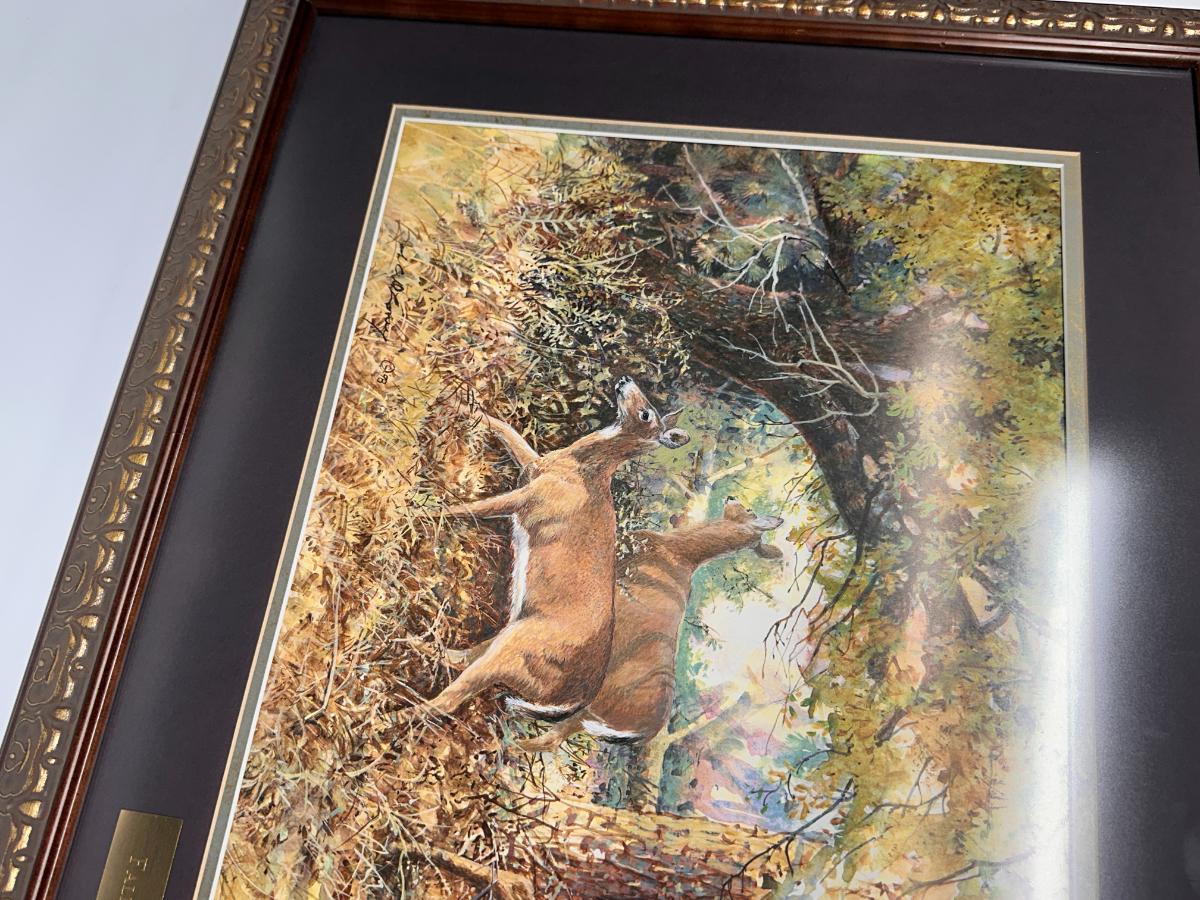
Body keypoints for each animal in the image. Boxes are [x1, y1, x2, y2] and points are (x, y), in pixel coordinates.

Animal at [414, 377, 690, 723]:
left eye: (645, 414)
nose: (625, 380)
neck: (580, 469)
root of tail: (575, 699)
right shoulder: (531, 466)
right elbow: (503, 426)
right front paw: (459, 402)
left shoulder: (530, 499)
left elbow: (472, 508)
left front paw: (419, 508)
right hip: (509, 638)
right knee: (461, 661)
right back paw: (423, 645)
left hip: (517, 645)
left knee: (452, 697)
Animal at [516, 497, 783, 753]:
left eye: (749, 510)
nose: (731, 497)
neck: (676, 551)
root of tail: (643, 733)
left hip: (594, 708)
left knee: (553, 731)